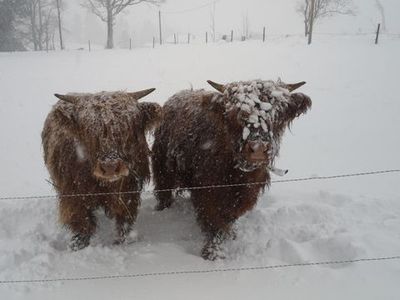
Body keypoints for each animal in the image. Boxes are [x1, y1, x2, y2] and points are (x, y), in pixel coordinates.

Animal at [42, 89, 161, 251]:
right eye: (89, 131)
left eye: (126, 128)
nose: (110, 166)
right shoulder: (72, 195)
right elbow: (82, 222)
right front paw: (78, 245)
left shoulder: (127, 191)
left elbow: (123, 221)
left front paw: (121, 242)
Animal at [153, 79, 312, 260]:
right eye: (238, 115)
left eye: (277, 116)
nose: (258, 148)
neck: (237, 175)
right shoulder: (207, 192)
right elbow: (213, 220)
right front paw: (213, 252)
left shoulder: (246, 196)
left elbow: (229, 217)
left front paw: (229, 235)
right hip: (162, 166)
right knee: (164, 190)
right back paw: (162, 209)